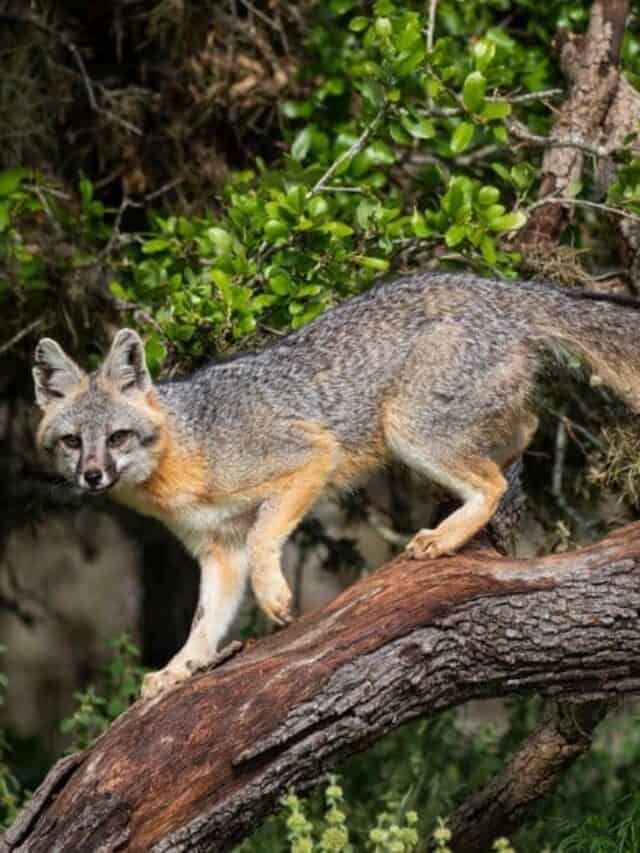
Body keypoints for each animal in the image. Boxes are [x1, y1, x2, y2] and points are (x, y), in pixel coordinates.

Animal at [32, 274, 640, 700]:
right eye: (72, 443)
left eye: (117, 438)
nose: (92, 476)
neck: (188, 450)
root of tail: (502, 287)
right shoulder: (217, 551)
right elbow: (204, 624)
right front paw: (179, 670)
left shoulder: (307, 458)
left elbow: (264, 538)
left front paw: (275, 596)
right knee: (527, 426)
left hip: (407, 428)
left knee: (490, 478)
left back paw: (445, 537)